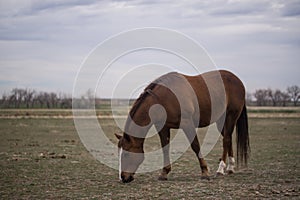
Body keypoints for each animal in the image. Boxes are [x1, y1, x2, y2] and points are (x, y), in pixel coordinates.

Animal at [116, 70, 250, 183]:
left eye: (126, 154)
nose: (123, 178)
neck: (163, 98)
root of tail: (238, 81)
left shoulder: (187, 124)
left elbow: (195, 146)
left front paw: (205, 172)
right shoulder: (163, 127)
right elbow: (165, 147)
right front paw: (164, 173)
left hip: (231, 116)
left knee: (226, 140)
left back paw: (220, 170)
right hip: (221, 121)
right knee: (228, 139)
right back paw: (230, 168)